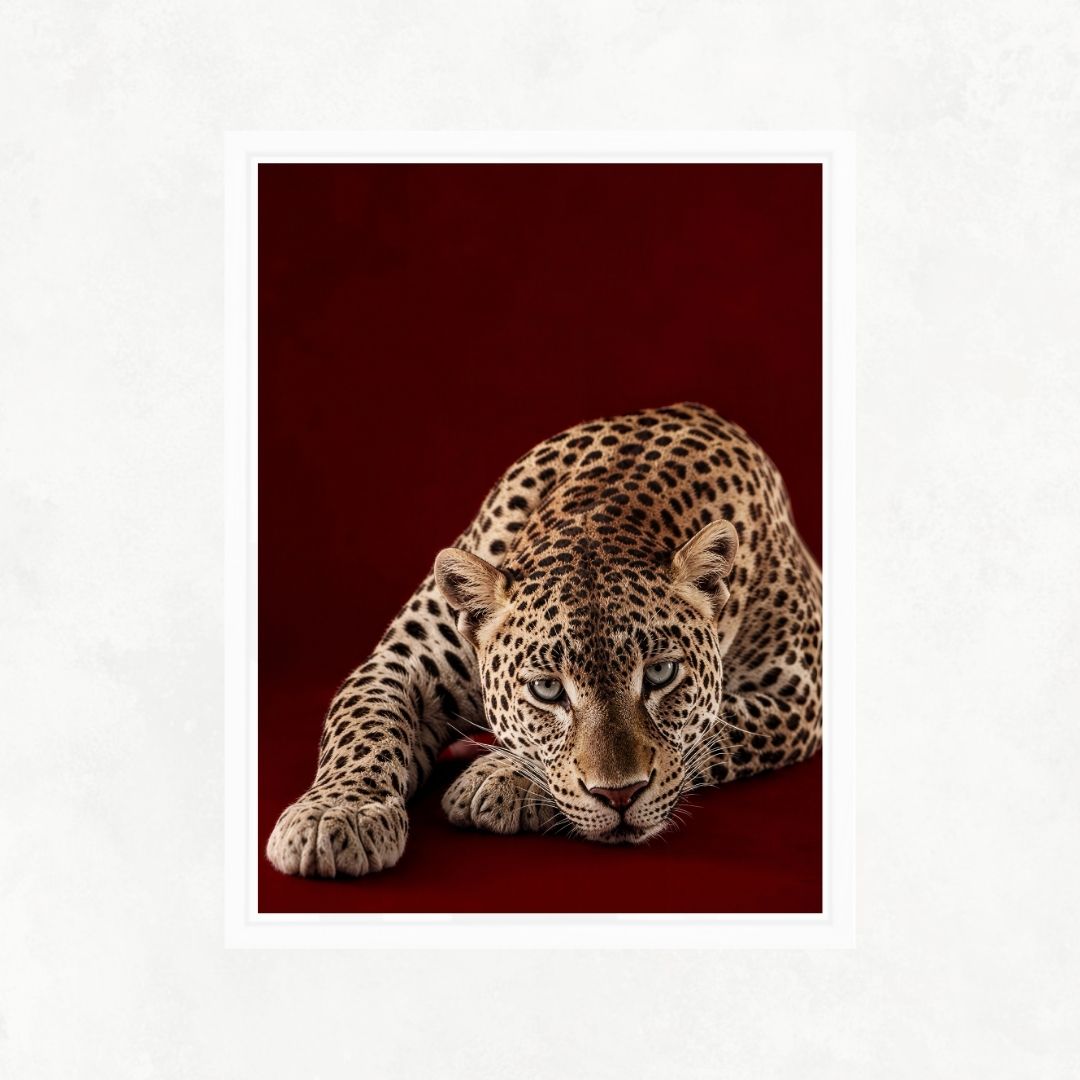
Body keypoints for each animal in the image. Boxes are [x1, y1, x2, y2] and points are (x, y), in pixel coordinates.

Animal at [266, 402, 822, 877]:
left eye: (661, 673)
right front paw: (335, 816)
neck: (606, 513)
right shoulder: (403, 663)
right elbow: (363, 723)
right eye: (547, 689)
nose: (621, 797)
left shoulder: (799, 695)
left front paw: (497, 778)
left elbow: (716, 729)